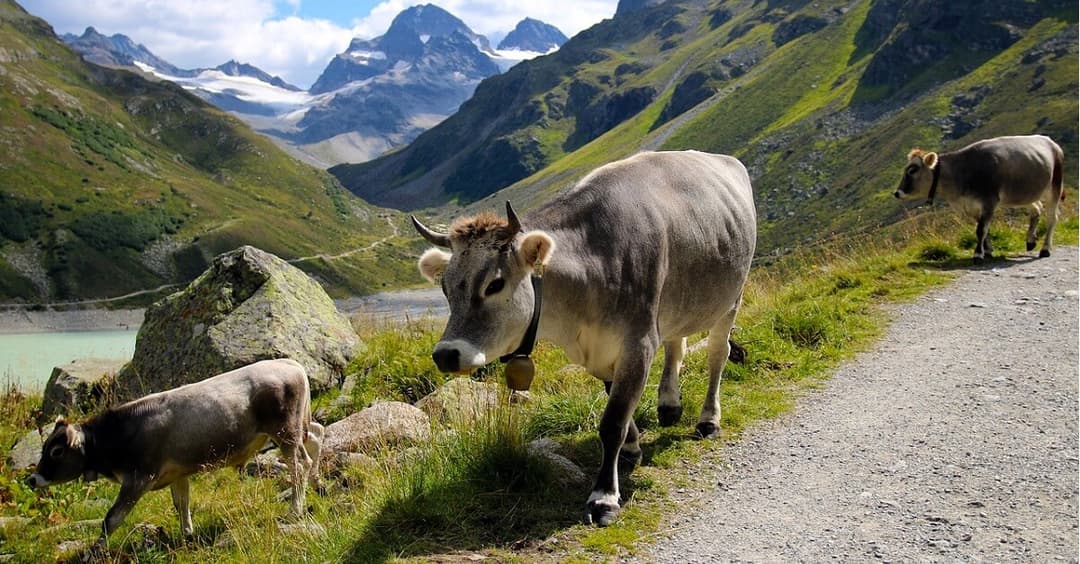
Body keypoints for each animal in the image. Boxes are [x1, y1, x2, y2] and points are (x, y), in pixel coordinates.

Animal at [25, 356, 319, 544]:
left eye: (56, 451)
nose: (32, 479)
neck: (119, 433)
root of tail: (288, 363)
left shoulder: (138, 478)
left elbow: (111, 518)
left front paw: (97, 551)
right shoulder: (177, 473)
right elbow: (182, 504)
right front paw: (187, 535)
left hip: (285, 431)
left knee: (299, 464)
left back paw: (295, 509)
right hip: (297, 426)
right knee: (316, 437)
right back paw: (318, 483)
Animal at [408, 148, 756, 522]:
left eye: (495, 284)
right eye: (444, 287)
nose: (446, 354)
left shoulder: (638, 342)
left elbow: (613, 421)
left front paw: (604, 497)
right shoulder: (602, 349)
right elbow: (615, 402)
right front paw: (631, 448)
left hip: (731, 298)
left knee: (717, 355)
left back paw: (708, 420)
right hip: (677, 302)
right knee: (677, 342)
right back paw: (669, 405)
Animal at [894, 134, 1062, 263]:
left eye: (912, 170)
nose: (897, 193)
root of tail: (1050, 141)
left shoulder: (989, 201)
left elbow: (981, 229)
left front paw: (978, 255)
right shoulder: (971, 206)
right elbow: (984, 229)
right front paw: (987, 251)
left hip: (1054, 187)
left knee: (1052, 218)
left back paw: (1045, 249)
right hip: (1025, 194)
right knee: (1036, 210)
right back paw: (1030, 241)